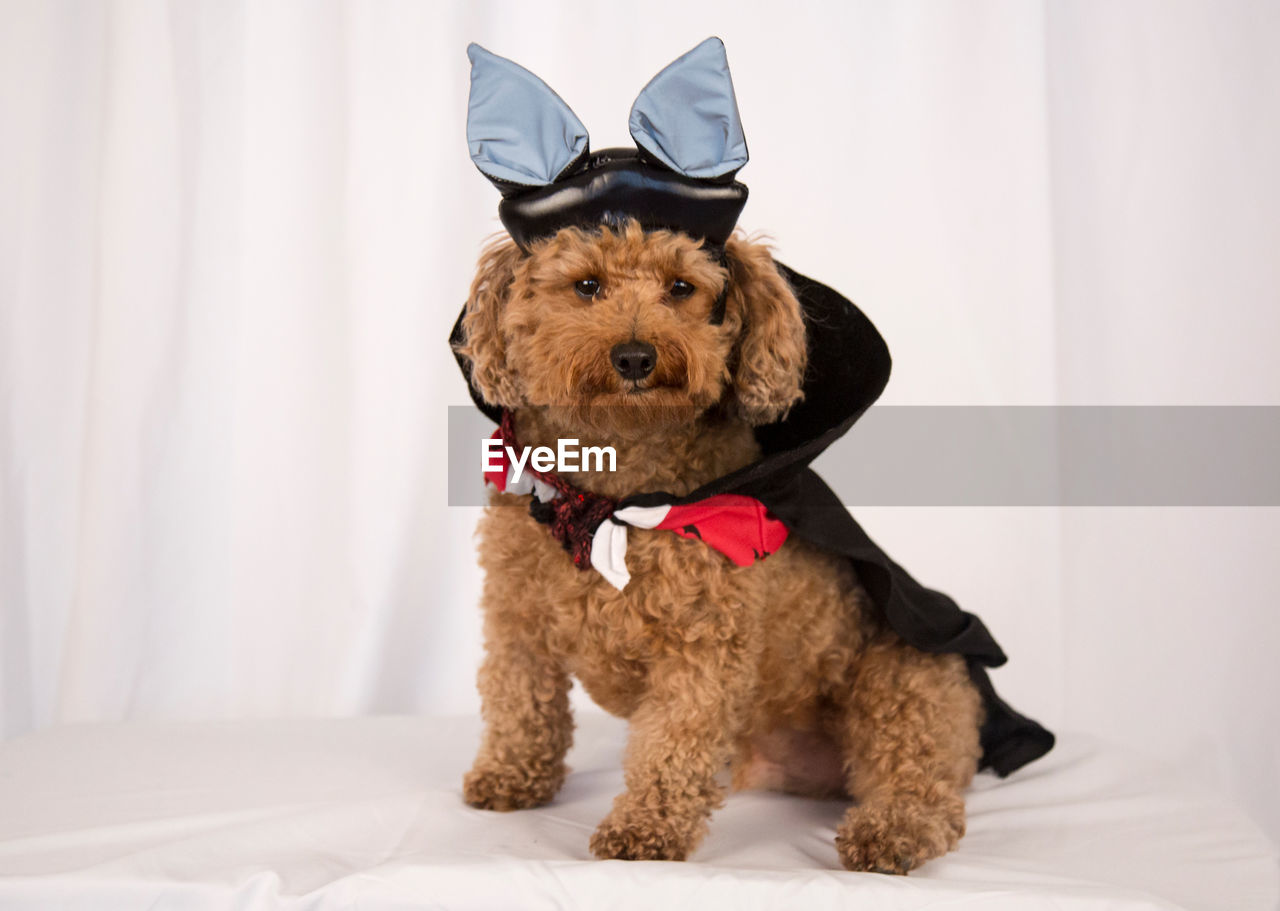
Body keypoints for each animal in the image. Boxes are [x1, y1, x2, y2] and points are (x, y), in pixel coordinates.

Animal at [455, 220, 983, 875]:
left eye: (682, 287)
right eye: (587, 285)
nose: (636, 356)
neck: (609, 500)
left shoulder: (702, 646)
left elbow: (673, 745)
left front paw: (645, 828)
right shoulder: (515, 615)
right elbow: (519, 699)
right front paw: (510, 776)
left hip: (905, 679)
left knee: (923, 784)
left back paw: (891, 832)